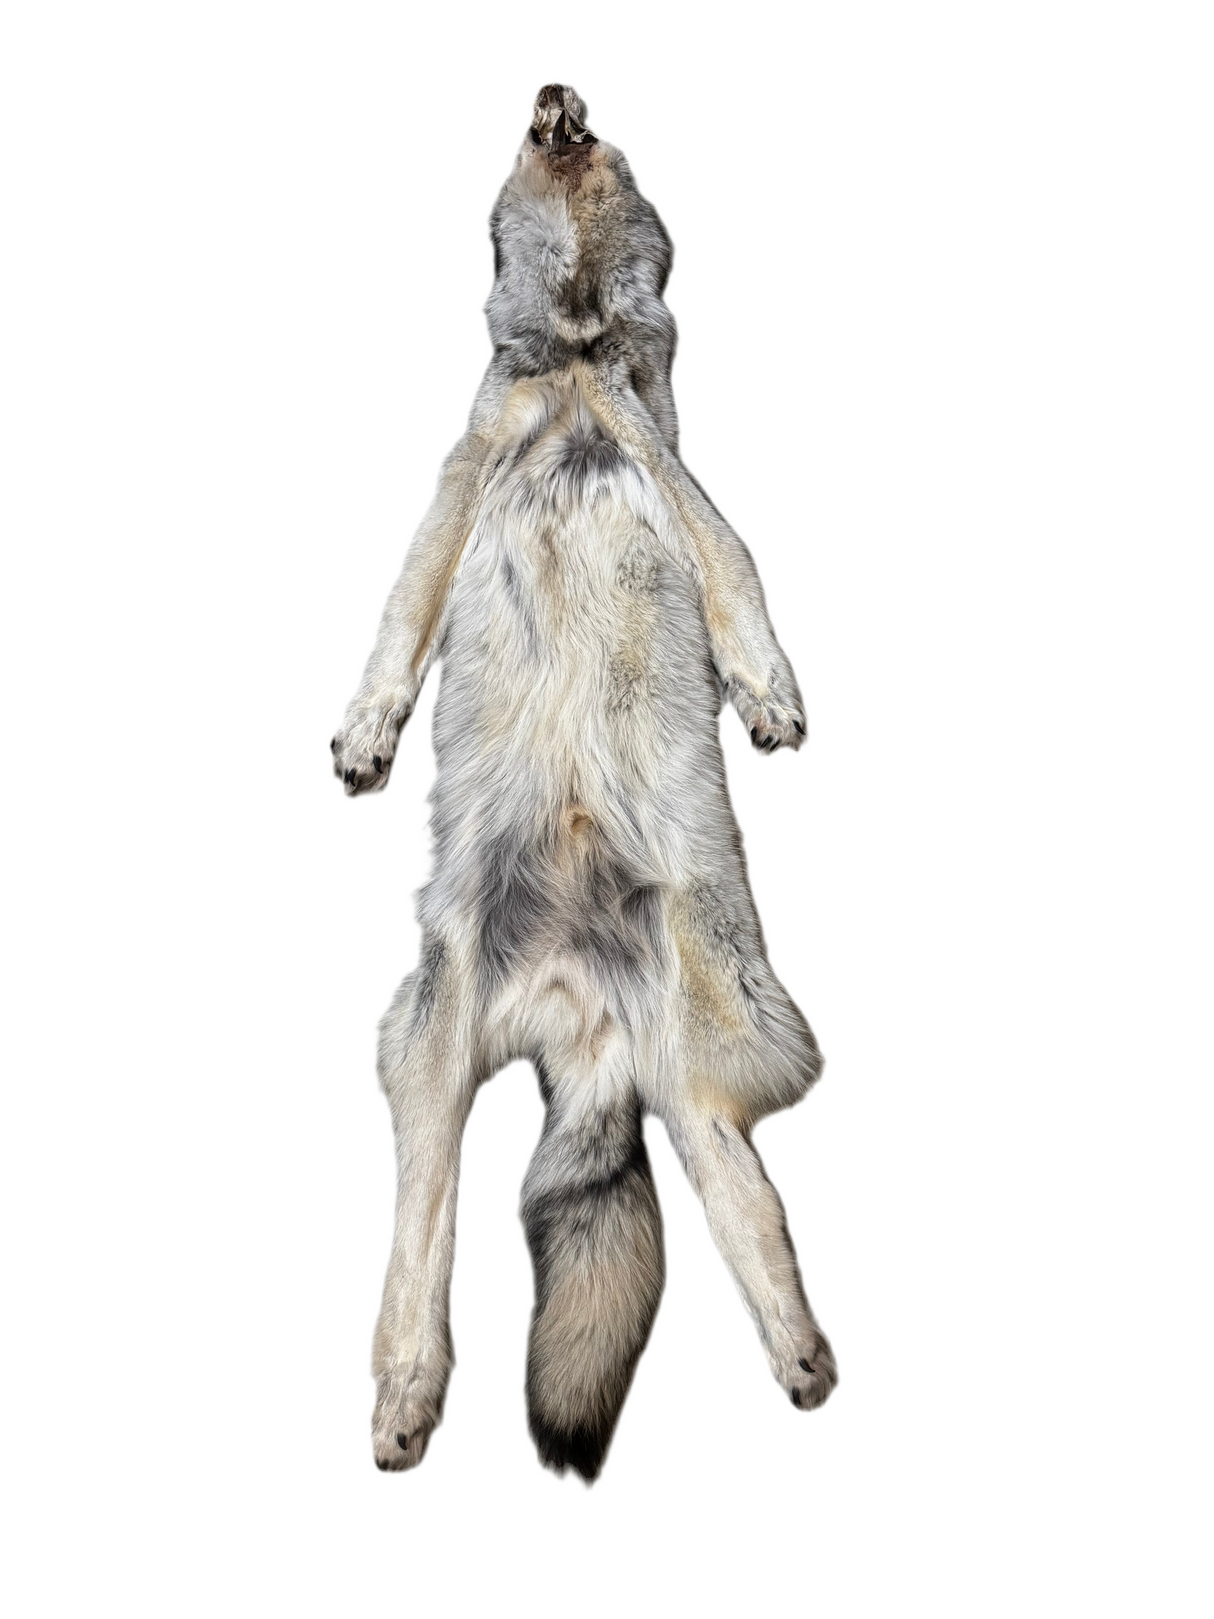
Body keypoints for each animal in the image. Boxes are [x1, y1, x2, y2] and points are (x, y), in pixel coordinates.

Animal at [331, 85, 837, 1481]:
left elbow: (741, 586)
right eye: (529, 142)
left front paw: (768, 693)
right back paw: (406, 1391)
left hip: (702, 1040)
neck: (569, 357)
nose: (556, 97)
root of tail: (580, 1023)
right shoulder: (455, 492)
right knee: (424, 1231)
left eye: (604, 144)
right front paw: (366, 728)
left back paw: (798, 1348)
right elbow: (394, 631)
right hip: (433, 1048)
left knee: (735, 1189)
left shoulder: (677, 477)